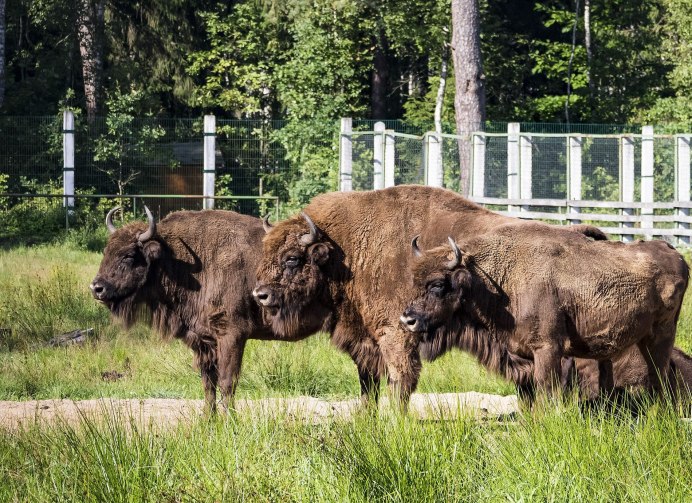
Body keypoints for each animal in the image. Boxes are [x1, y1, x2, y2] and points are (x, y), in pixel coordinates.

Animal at [90, 207, 300, 412]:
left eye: (129, 255)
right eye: (106, 251)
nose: (97, 288)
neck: (173, 258)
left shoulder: (232, 335)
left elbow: (227, 381)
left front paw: (230, 418)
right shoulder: (203, 341)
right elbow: (208, 382)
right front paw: (208, 417)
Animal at [253, 185, 604, 406]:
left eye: (292, 258)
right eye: (265, 252)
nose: (260, 295)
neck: (349, 251)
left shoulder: (396, 334)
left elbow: (400, 384)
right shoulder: (366, 343)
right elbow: (368, 388)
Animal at [400, 226, 688, 400]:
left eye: (438, 284)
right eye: (414, 281)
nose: (408, 320)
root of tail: (674, 254)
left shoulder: (548, 349)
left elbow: (547, 393)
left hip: (660, 338)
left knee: (659, 381)